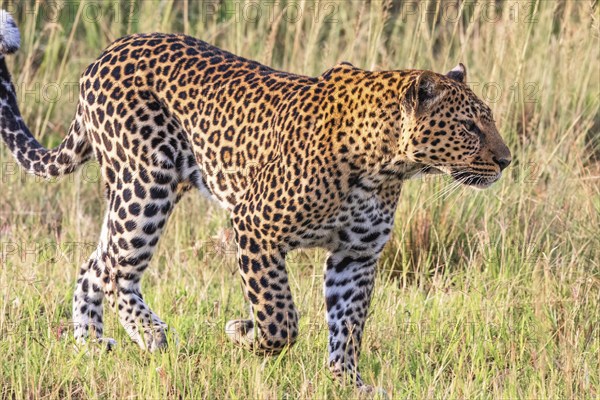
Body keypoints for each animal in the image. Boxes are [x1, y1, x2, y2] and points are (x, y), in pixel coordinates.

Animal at [0, 10, 508, 390]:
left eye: (489, 119)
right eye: (468, 127)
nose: (506, 160)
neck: (386, 163)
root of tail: (104, 54)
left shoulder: (357, 255)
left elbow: (348, 325)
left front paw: (348, 383)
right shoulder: (254, 226)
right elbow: (280, 316)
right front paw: (244, 333)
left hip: (128, 191)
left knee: (95, 264)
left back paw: (90, 345)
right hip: (147, 184)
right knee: (115, 270)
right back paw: (150, 334)